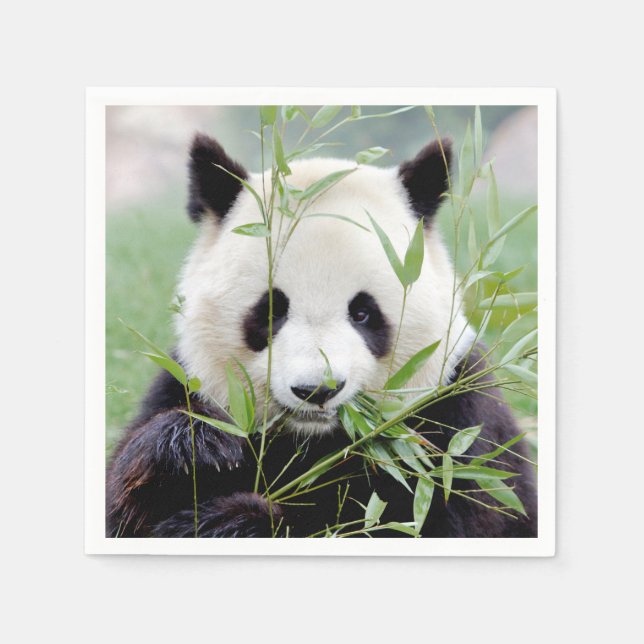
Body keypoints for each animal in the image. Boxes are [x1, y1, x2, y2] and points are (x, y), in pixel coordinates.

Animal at [106, 131, 537, 538]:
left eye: (363, 313)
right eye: (270, 311)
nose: (317, 390)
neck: (312, 439)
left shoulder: (455, 421)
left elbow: (422, 519)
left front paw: (232, 522)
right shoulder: (189, 383)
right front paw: (196, 448)